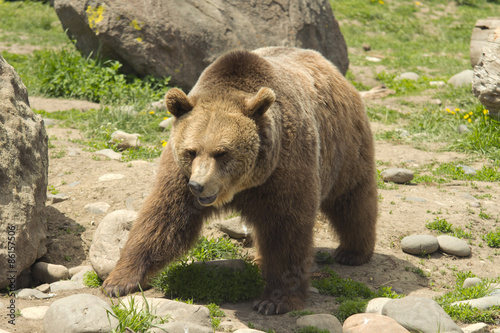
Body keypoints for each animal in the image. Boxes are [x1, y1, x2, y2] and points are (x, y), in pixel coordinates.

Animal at [103, 46, 376, 314]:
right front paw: (119, 281)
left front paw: (275, 300)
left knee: (352, 200)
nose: (198, 186)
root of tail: (326, 63)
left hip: (344, 148)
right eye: (191, 151)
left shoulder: (284, 168)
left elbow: (286, 230)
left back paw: (352, 252)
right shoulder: (179, 174)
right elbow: (162, 220)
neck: (242, 185)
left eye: (222, 152)